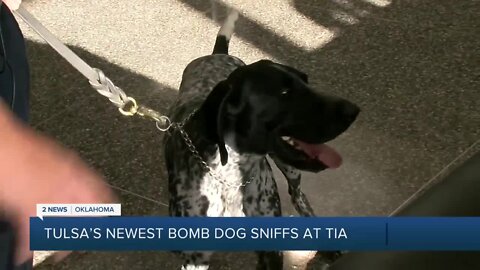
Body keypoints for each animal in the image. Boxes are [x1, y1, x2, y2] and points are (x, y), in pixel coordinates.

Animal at [163, 9, 358, 270]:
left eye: (306, 80)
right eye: (284, 92)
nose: (354, 111)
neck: (231, 177)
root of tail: (217, 54)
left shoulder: (270, 249)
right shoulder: (196, 258)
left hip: (290, 168)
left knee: (298, 195)